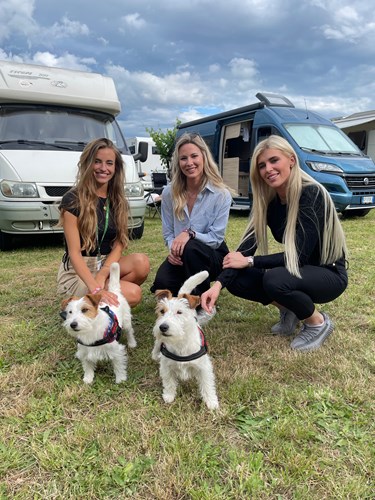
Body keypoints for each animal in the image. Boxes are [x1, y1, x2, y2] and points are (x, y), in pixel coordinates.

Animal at [152, 272, 219, 408]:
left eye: (179, 312)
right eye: (162, 311)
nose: (163, 327)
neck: (180, 342)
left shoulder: (204, 367)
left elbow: (207, 385)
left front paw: (211, 401)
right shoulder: (166, 366)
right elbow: (169, 383)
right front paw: (169, 396)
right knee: (157, 343)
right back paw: (155, 354)